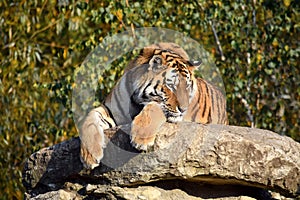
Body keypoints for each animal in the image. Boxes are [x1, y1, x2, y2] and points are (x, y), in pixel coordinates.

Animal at [79, 43, 227, 170]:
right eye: (171, 86)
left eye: (187, 86)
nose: (184, 109)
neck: (136, 99)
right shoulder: (109, 109)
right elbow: (90, 119)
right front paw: (89, 156)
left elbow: (154, 107)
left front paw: (141, 138)